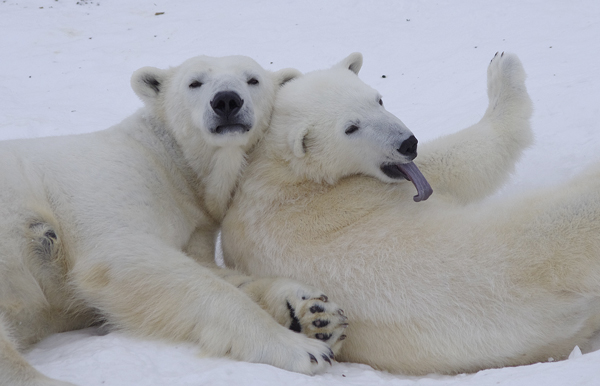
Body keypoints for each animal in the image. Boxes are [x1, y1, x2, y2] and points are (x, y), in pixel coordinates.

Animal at [0, 55, 346, 386]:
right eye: (194, 82)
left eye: (253, 79)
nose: (227, 101)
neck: (169, 163)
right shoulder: (114, 185)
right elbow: (132, 258)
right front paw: (303, 348)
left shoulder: (195, 219)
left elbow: (209, 268)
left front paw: (315, 311)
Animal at [221, 52, 600, 374]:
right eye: (350, 128)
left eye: (378, 99)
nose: (408, 143)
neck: (283, 175)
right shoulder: (363, 189)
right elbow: (464, 158)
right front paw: (503, 69)